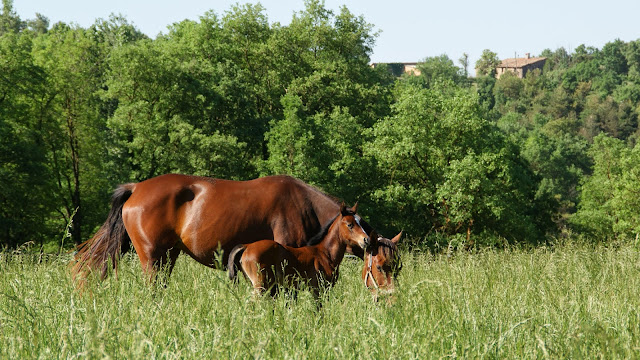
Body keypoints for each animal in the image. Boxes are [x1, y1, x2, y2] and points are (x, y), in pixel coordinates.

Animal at [228, 204, 368, 296]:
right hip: (260, 286)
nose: (366, 239)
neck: (325, 254)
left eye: (360, 223)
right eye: (350, 225)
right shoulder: (318, 289)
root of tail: (247, 246)